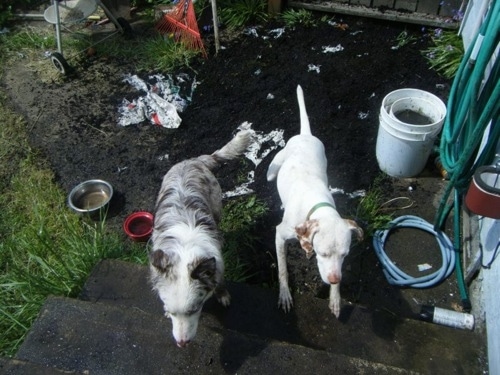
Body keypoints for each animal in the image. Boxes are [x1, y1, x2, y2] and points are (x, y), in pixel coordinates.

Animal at [148, 131, 250, 348]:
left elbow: (220, 282)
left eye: (194, 309)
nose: (182, 343)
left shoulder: (218, 261)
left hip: (217, 203)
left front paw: (223, 296)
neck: (184, 250)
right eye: (171, 311)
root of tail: (194, 160)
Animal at [266, 86, 364, 318]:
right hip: (276, 166)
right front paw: (285, 293)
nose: (334, 280)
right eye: (323, 253)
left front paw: (335, 297)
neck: (317, 206)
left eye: (345, 255)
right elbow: (282, 269)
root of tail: (305, 135)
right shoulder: (280, 235)